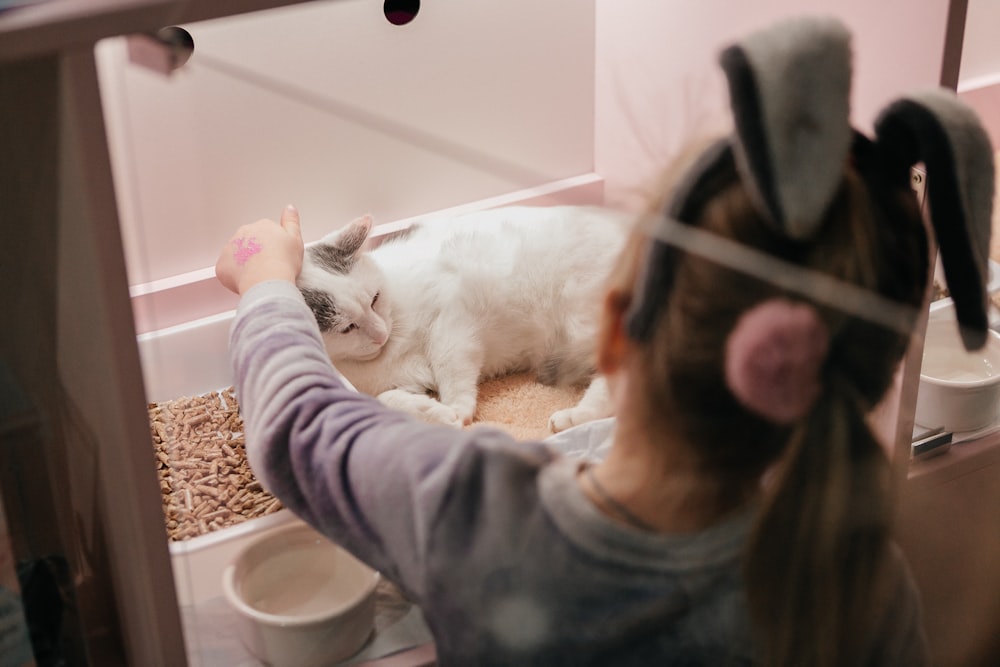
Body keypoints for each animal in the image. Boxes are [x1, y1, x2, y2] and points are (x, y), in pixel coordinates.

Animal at [292, 205, 628, 434]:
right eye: (347, 328)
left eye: (375, 299)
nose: (380, 334)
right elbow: (388, 399)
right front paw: (434, 413)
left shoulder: (454, 312)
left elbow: (449, 364)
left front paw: (456, 409)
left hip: (584, 324)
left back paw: (571, 419)